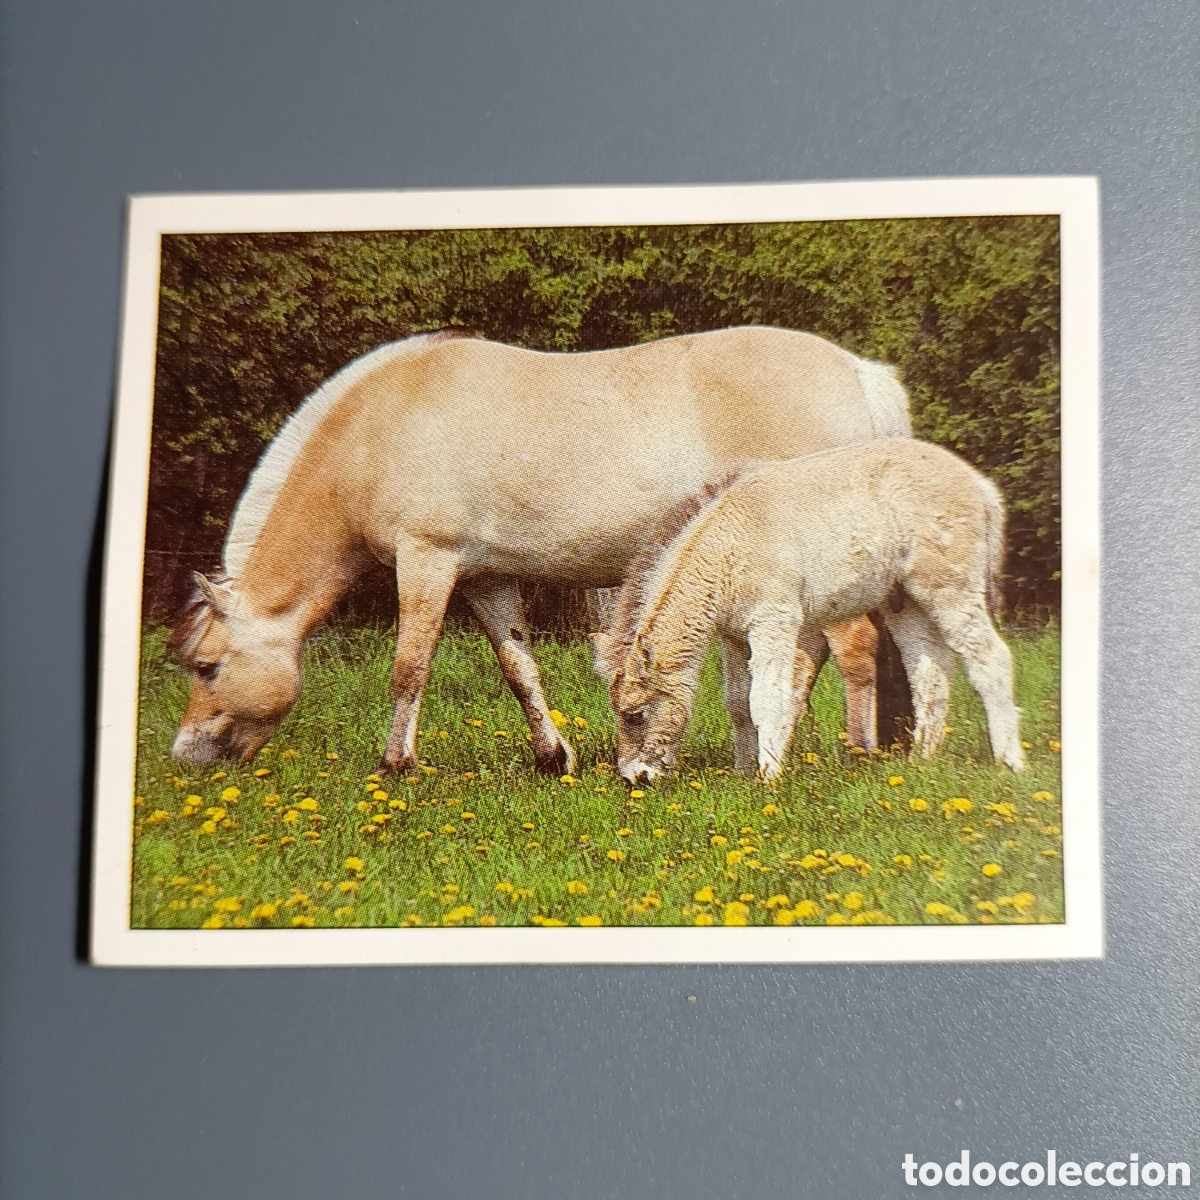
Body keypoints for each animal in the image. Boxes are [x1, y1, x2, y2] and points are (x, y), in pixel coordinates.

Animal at [170, 325, 911, 774]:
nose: (184, 754)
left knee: (851, 648)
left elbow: (409, 667)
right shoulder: (483, 578)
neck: (382, 428)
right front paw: (554, 759)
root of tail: (859, 371)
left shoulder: (427, 560)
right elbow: (517, 666)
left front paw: (395, 766)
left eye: (207, 667)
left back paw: (841, 754)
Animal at [592, 439, 1026, 784]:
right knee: (930, 676)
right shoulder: (733, 635)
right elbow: (737, 701)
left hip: (951, 590)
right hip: (909, 605)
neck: (730, 543)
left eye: (634, 714)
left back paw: (1010, 762)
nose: (633, 778)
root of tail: (981, 486)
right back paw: (921, 761)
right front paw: (743, 771)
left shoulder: (774, 622)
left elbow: (767, 697)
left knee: (991, 660)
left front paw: (768, 777)